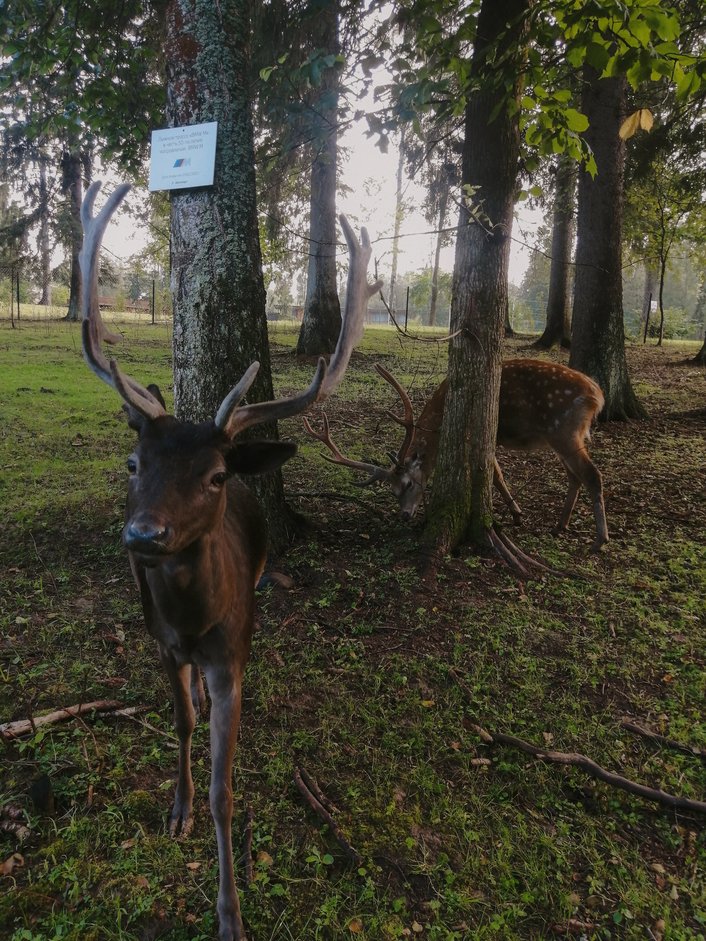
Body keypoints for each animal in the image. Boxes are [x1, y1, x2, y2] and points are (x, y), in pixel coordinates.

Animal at [78, 180, 380, 936]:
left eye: (213, 475)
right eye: (134, 462)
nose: (144, 534)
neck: (195, 620)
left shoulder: (228, 655)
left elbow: (226, 788)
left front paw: (229, 912)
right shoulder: (161, 640)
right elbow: (182, 723)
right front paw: (177, 809)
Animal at [306, 360, 608, 552]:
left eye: (408, 483)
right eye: (391, 491)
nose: (404, 515)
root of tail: (597, 395)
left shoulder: (479, 434)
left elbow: (494, 474)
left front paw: (517, 513)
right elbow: (496, 473)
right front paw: (517, 513)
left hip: (563, 430)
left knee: (592, 474)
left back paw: (599, 539)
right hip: (563, 436)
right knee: (575, 476)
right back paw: (560, 525)